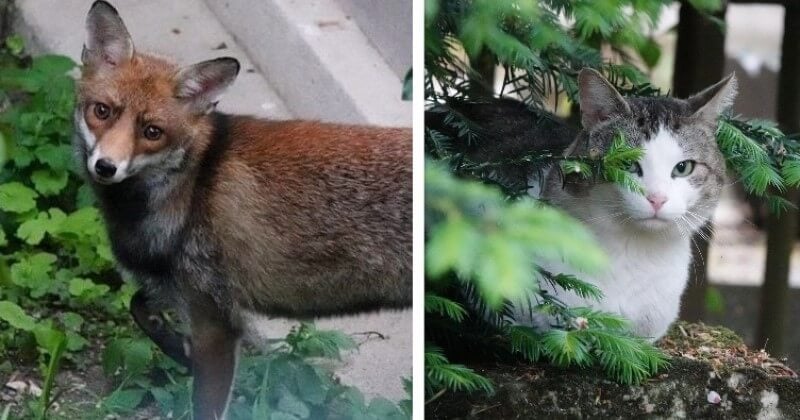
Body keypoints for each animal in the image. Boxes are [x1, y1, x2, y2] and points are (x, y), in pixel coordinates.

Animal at [75, 1, 412, 418]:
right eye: (102, 111)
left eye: (152, 132)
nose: (106, 167)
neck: (190, 185)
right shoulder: (181, 291)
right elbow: (139, 306)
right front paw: (177, 348)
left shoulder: (216, 323)